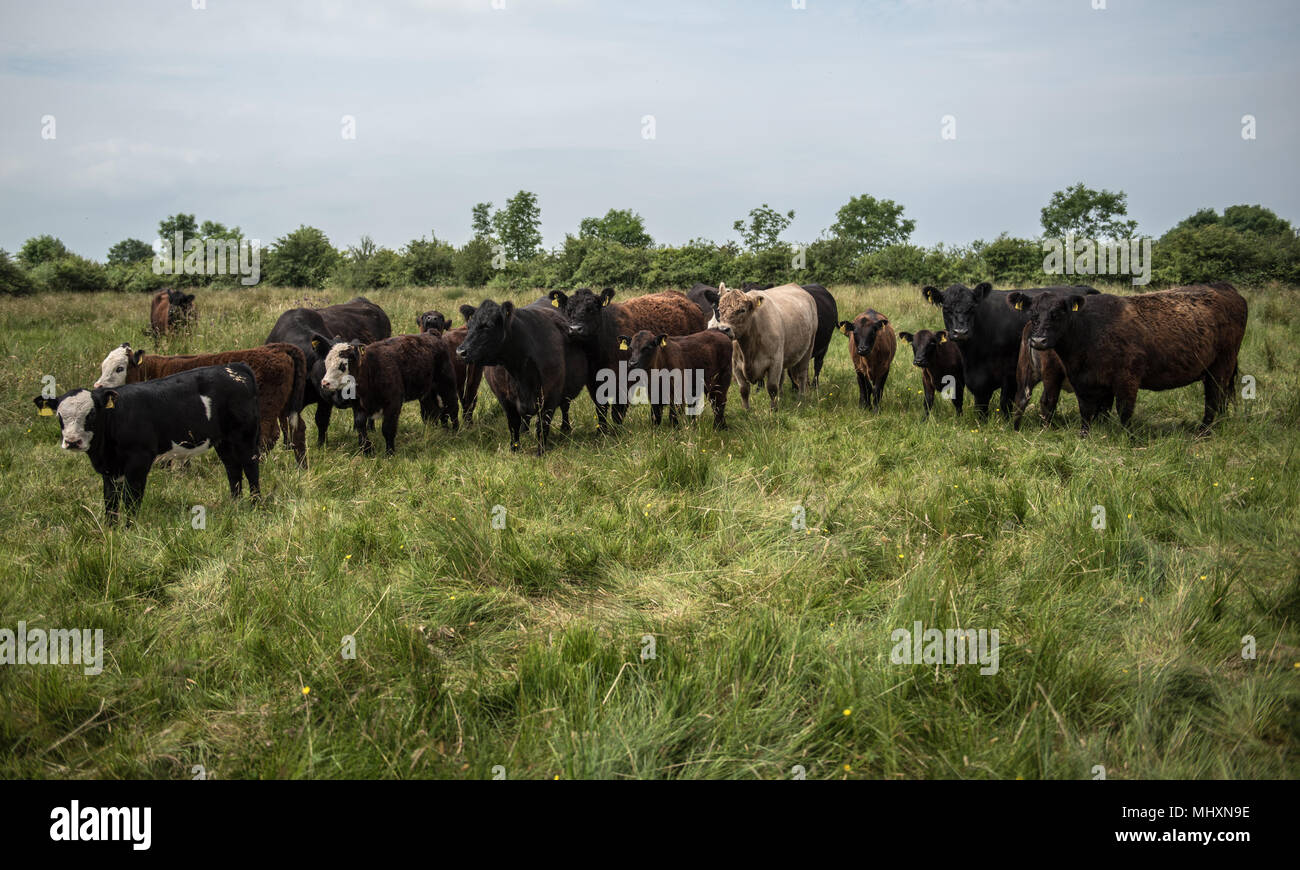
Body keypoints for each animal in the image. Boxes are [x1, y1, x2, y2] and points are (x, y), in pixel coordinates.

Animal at [32, 361, 261, 522]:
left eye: (91, 414)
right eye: (59, 416)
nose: (72, 441)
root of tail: (234, 367)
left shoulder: (138, 461)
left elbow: (132, 499)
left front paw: (129, 529)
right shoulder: (110, 469)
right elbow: (110, 502)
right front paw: (111, 530)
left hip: (245, 436)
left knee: (250, 466)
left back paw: (255, 504)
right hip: (223, 440)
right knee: (232, 468)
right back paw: (235, 504)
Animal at [94, 338, 306, 465]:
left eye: (119, 368)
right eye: (103, 366)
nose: (98, 386)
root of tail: (276, 348)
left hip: (266, 409)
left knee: (267, 437)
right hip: (285, 408)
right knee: (296, 430)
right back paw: (301, 467)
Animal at [261, 299, 387, 444]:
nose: (348, 394)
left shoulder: (325, 399)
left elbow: (321, 419)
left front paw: (321, 444)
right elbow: (286, 423)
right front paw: (289, 445)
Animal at [920, 282, 1092, 416]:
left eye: (972, 308)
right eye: (946, 309)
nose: (960, 332)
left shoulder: (1011, 371)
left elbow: (1005, 402)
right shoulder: (977, 377)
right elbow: (981, 404)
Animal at [1008, 282, 1242, 434]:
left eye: (1058, 314)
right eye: (1033, 314)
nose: (1038, 340)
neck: (1089, 331)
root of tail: (1225, 287)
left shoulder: (1127, 378)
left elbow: (1124, 411)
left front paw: (1127, 439)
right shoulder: (1083, 381)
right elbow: (1087, 411)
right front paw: (1086, 436)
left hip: (1222, 365)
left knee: (1214, 398)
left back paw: (1205, 430)